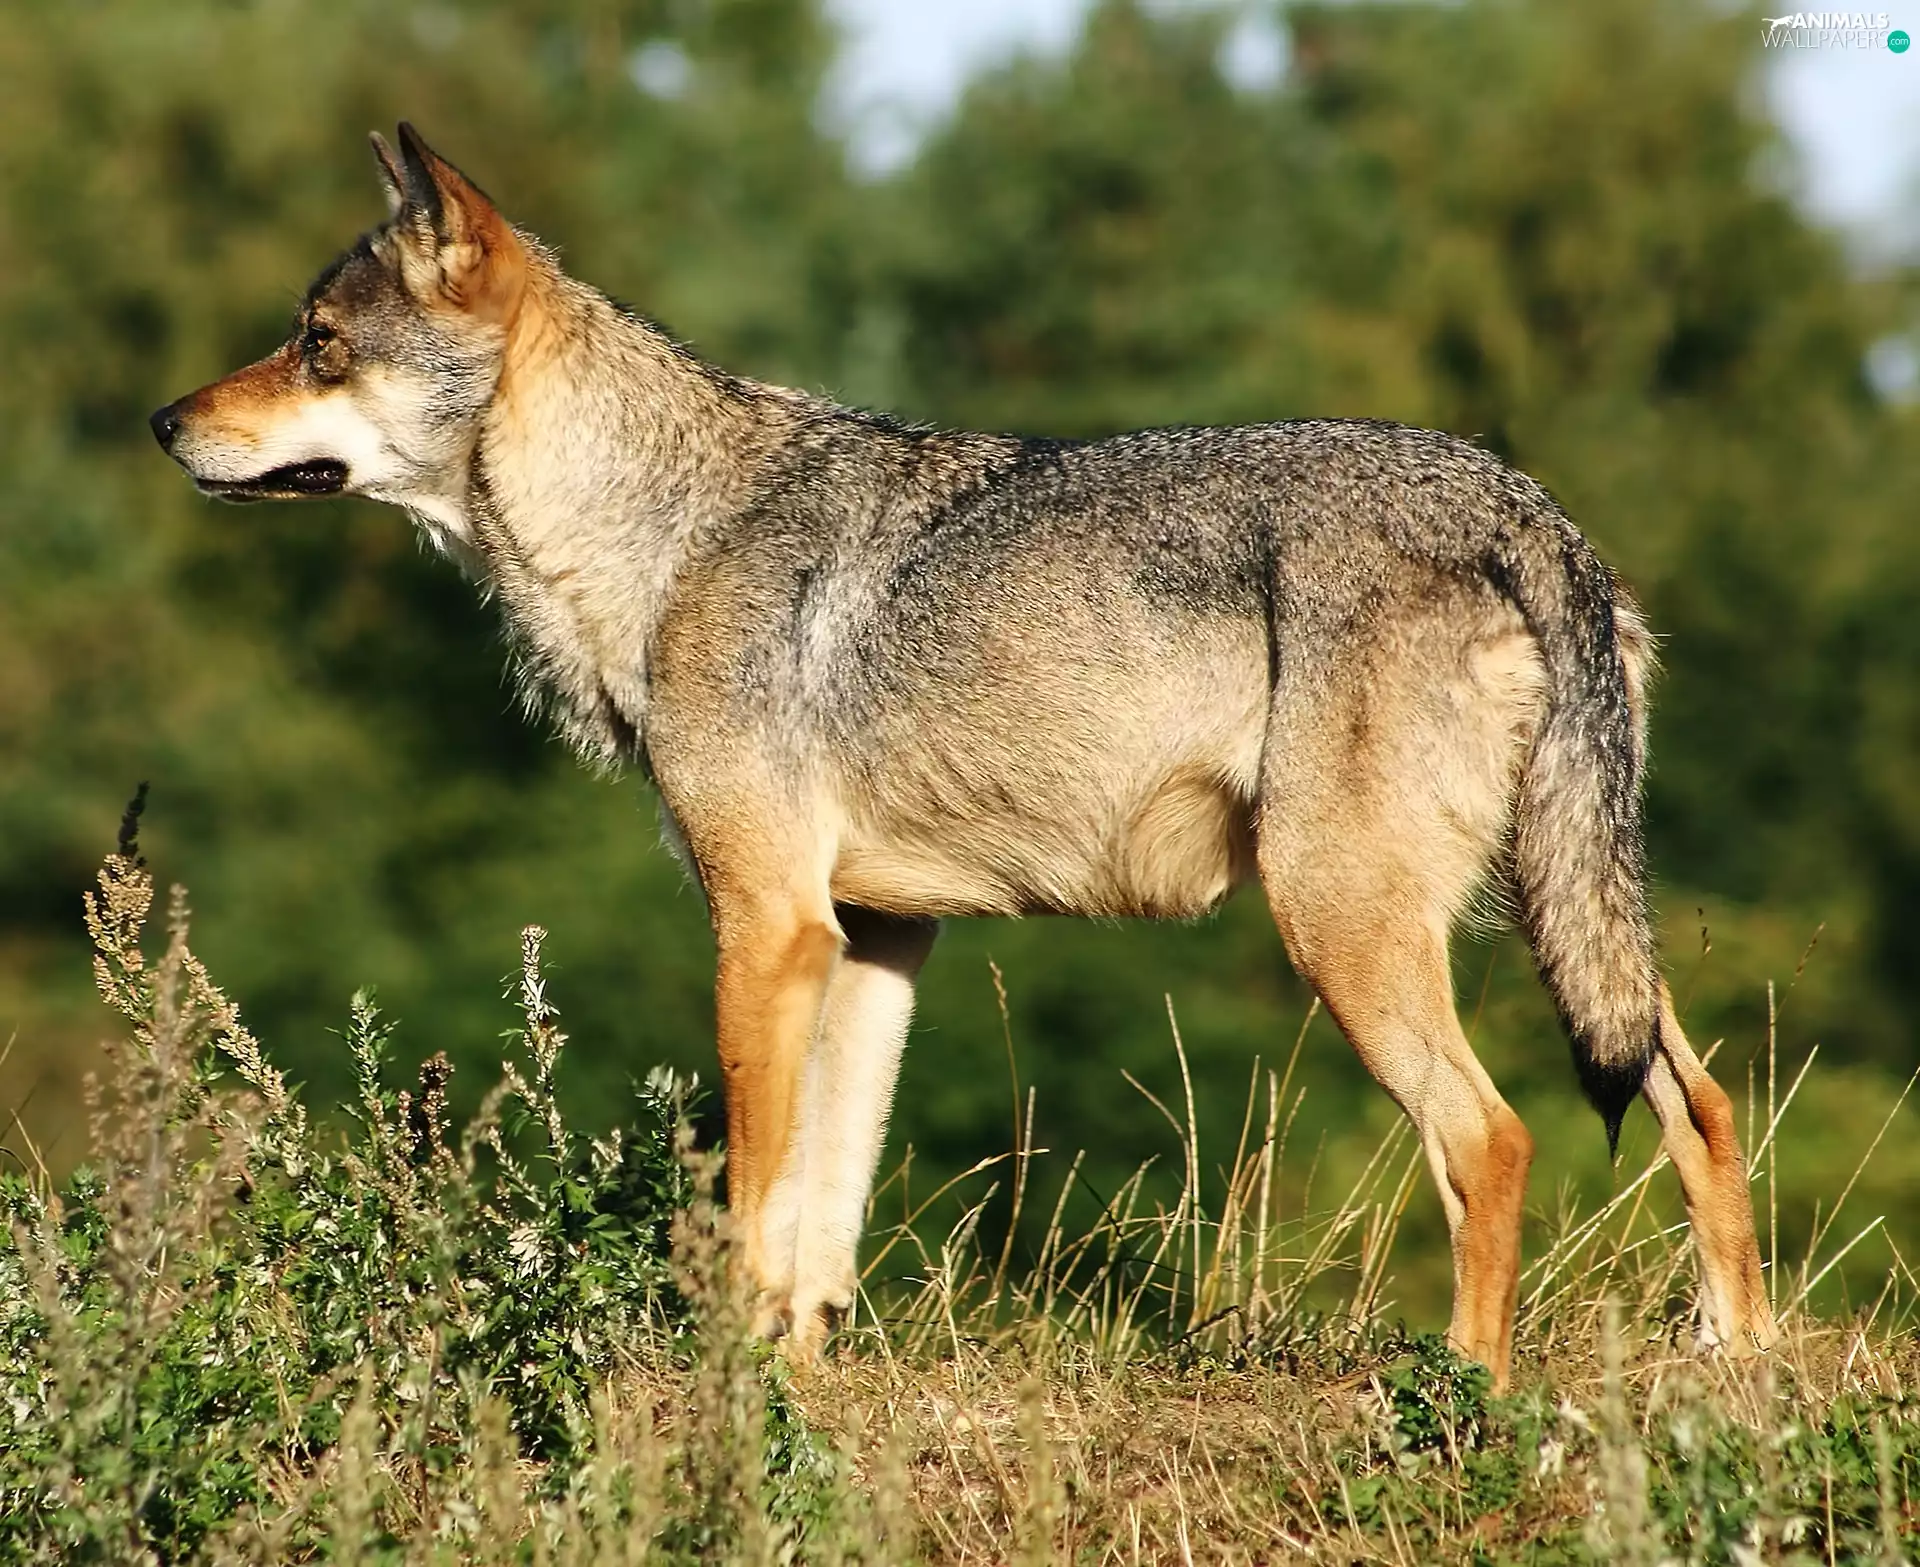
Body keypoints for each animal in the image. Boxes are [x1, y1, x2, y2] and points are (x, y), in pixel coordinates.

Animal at [151, 124, 1776, 1388]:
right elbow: (824, 1215)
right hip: (1562, 921)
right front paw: (798, 1389)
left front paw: (724, 1388)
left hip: (1347, 928)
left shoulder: (768, 929)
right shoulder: (875, 939)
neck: (657, 536)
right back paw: (1740, 1367)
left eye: (316, 343)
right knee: (1699, 1102)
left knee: (1493, 1140)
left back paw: (1467, 1395)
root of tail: (1531, 511)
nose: (162, 419)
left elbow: (754, 1196)